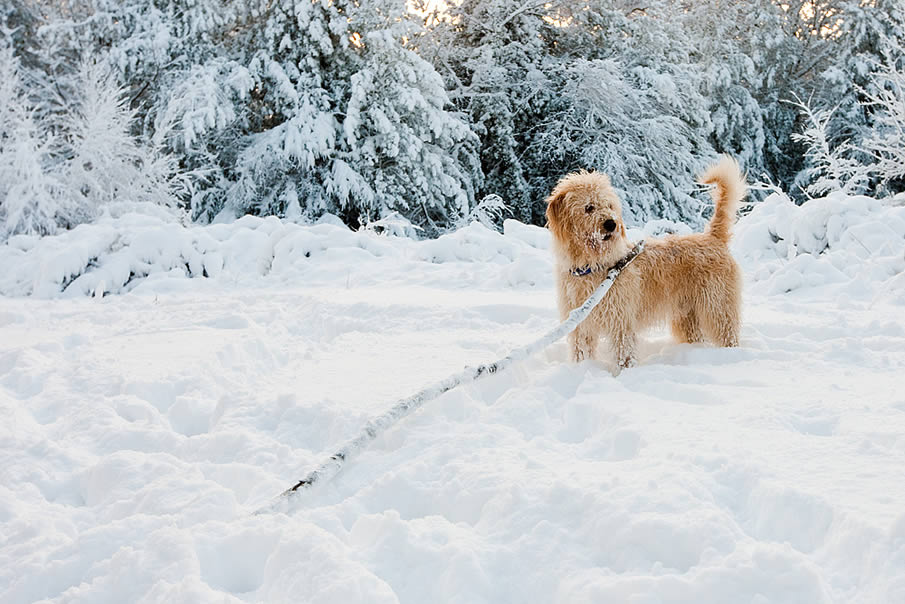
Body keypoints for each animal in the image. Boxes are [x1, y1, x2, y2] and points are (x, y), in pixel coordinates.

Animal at [548, 156, 744, 372]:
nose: (611, 224)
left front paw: (623, 373)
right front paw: (581, 369)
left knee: (728, 334)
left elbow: (623, 353)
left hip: (717, 307)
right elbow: (581, 352)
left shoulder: (621, 321)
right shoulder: (581, 326)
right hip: (687, 316)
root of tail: (713, 237)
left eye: (609, 206)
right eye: (589, 207)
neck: (592, 266)